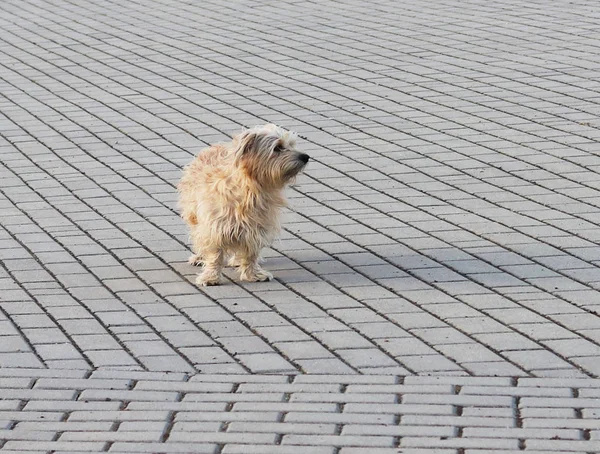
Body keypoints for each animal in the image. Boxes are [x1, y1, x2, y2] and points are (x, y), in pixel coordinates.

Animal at [178, 123, 310, 288]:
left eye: (292, 144)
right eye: (277, 148)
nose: (305, 157)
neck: (252, 187)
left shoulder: (257, 226)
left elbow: (251, 252)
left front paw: (253, 273)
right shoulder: (215, 226)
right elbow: (215, 254)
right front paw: (210, 276)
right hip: (194, 214)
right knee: (198, 236)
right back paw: (200, 257)